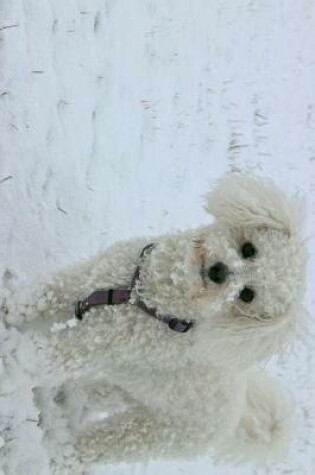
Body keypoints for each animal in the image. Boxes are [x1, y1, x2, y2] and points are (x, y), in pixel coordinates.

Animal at [27, 174, 308, 468]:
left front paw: (13, 360)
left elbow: (34, 354)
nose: (218, 271)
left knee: (87, 448)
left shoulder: (94, 344)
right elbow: (33, 300)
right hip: (133, 389)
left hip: (149, 435)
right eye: (249, 249)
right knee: (98, 393)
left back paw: (58, 447)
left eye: (247, 295)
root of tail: (236, 418)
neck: (148, 297)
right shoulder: (81, 282)